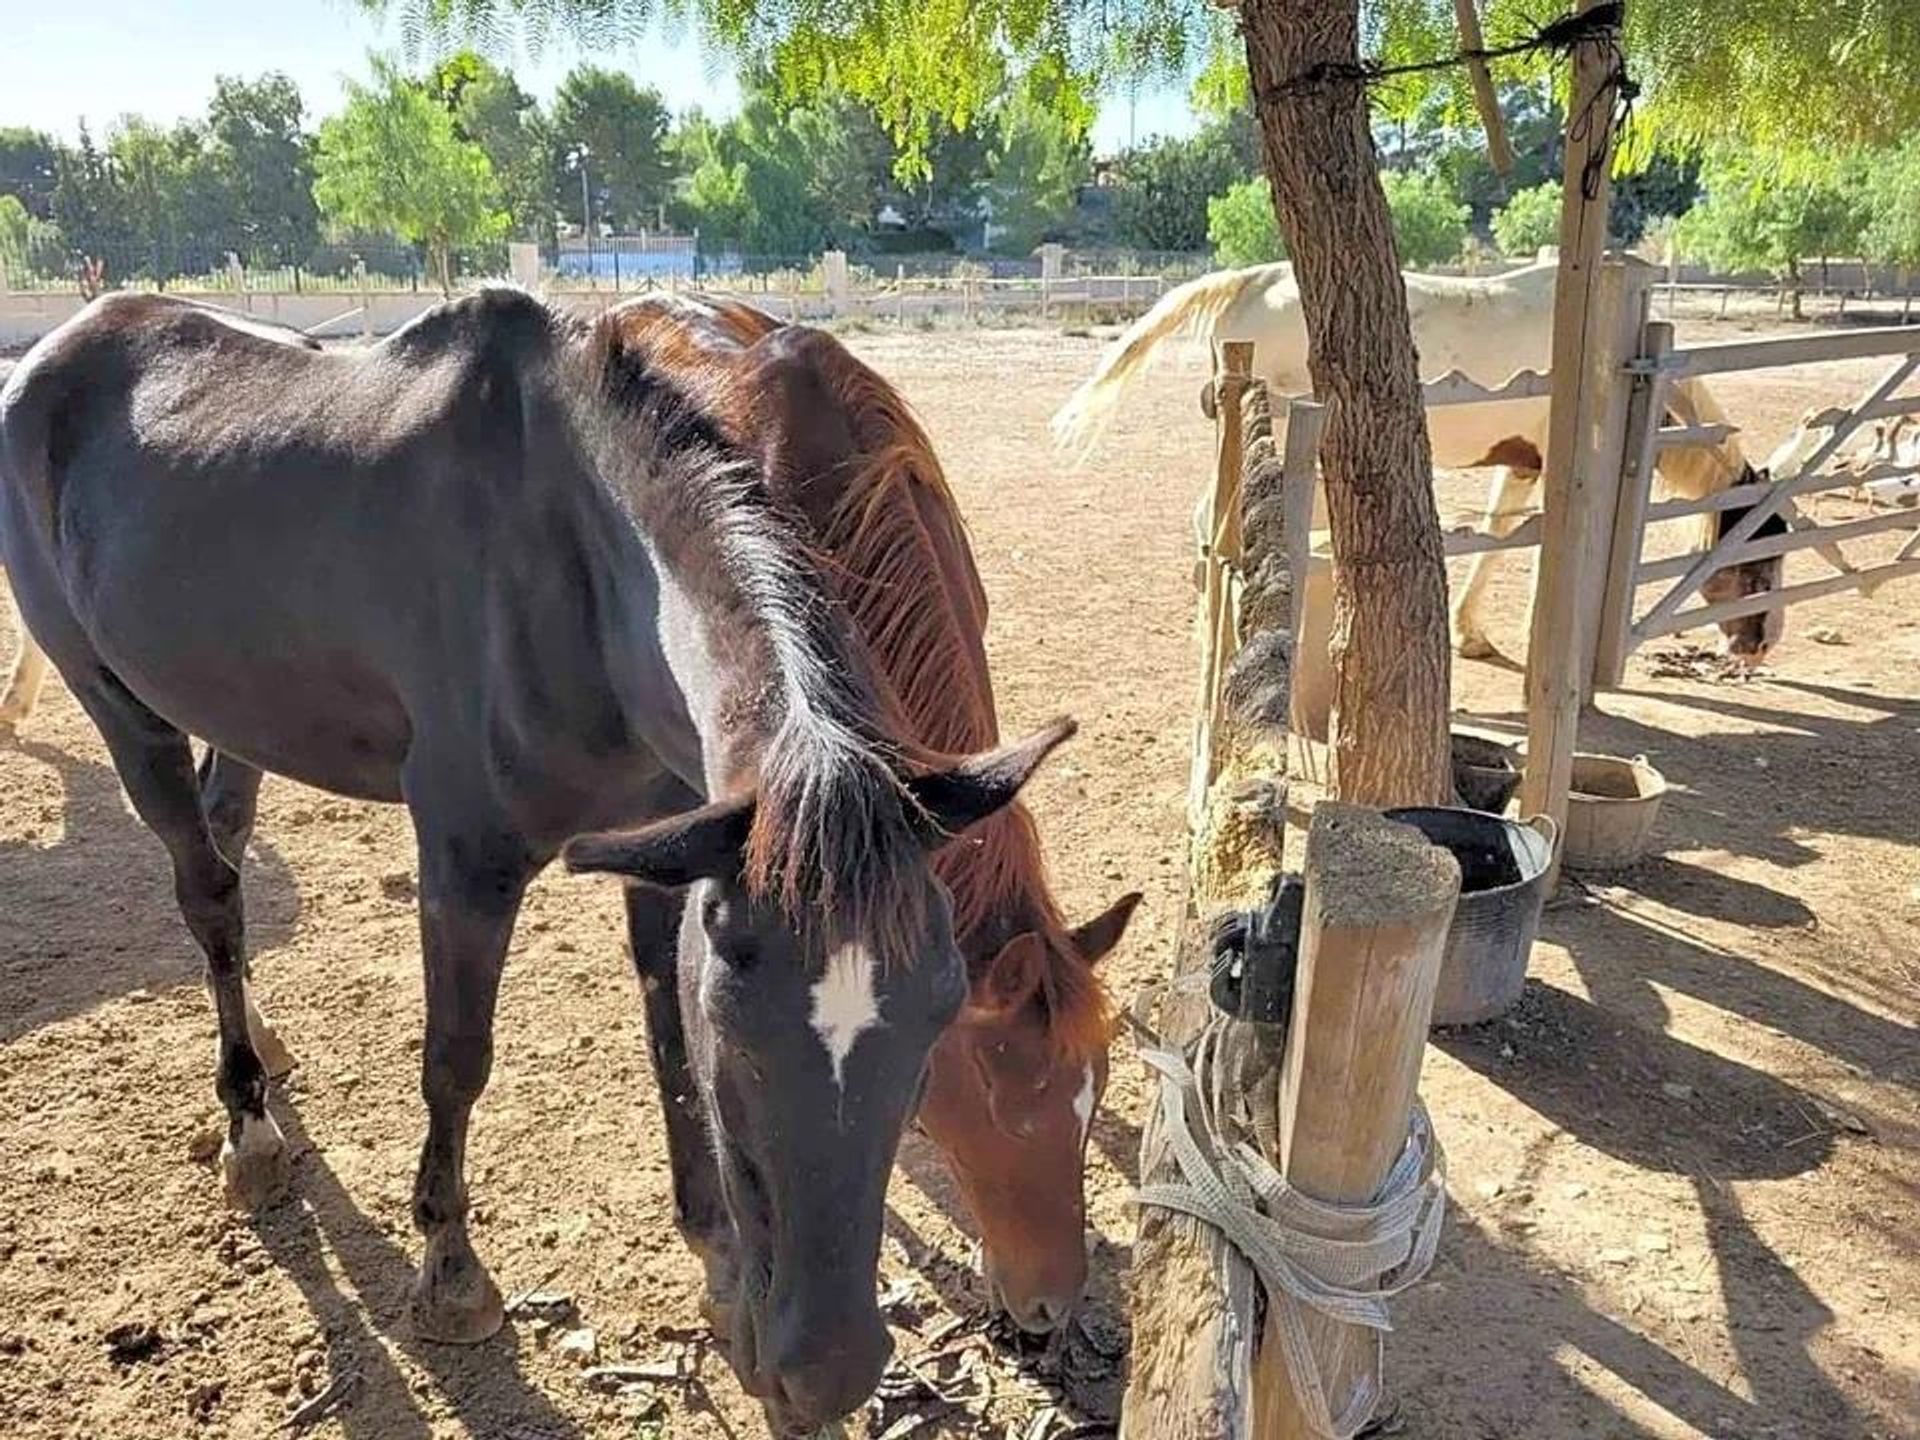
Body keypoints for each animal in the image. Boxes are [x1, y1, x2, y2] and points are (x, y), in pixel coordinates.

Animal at [0, 288, 1067, 1436]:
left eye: (938, 1019)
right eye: (743, 1029)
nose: (824, 1373)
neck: (575, 574)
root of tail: (62, 348)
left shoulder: (666, 853)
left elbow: (662, 1043)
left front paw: (717, 1269)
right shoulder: (466, 862)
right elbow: (456, 1060)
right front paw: (451, 1272)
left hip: (236, 714)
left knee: (229, 857)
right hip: (118, 706)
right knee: (206, 893)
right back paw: (250, 1129)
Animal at [1067, 257, 1827, 664]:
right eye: (1758, 553)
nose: (1761, 642)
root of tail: (1253, 280)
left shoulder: (1520, 464)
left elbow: (1495, 535)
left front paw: (1472, 635)